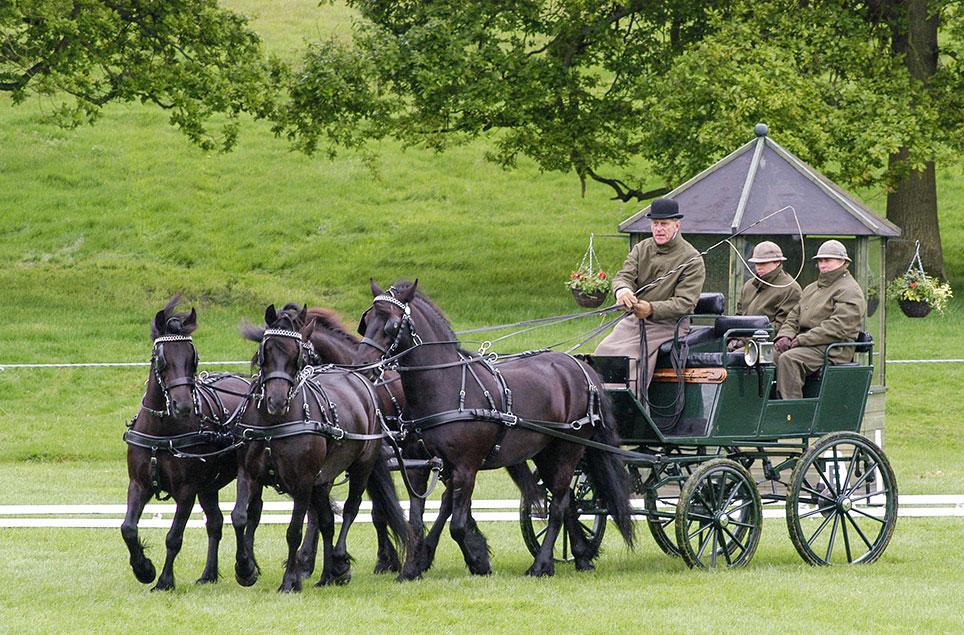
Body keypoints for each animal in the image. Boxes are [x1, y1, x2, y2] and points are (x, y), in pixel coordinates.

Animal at [120, 296, 250, 592]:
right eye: (161, 359)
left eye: (193, 358)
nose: (183, 406)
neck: (161, 431)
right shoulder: (138, 483)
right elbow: (128, 528)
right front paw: (144, 569)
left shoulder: (187, 490)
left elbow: (174, 537)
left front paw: (164, 580)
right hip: (209, 486)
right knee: (215, 523)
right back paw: (209, 574)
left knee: (243, 518)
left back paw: (247, 568)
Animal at [237, 306, 414, 592]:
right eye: (266, 350)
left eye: (298, 355)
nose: (276, 401)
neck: (274, 423)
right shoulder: (249, 473)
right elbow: (241, 517)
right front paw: (246, 569)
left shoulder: (302, 481)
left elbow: (294, 530)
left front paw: (291, 580)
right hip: (324, 478)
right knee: (328, 519)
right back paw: (330, 572)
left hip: (361, 466)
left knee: (352, 508)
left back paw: (340, 561)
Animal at [354, 280, 632, 580]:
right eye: (366, 321)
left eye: (392, 324)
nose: (361, 365)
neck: (445, 385)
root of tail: (581, 367)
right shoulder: (419, 466)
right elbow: (416, 521)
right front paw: (410, 570)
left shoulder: (465, 467)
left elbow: (457, 525)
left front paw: (478, 562)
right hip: (545, 453)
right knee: (569, 502)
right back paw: (580, 556)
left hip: (568, 450)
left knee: (558, 504)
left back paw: (540, 565)